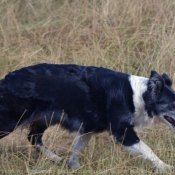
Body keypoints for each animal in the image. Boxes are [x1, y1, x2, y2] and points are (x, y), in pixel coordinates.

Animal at [0, 64, 175, 171]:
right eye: (173, 104)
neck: (140, 95)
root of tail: (5, 80)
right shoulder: (122, 131)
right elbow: (148, 150)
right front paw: (166, 167)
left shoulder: (89, 127)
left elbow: (78, 148)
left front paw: (74, 166)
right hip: (11, 120)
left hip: (43, 118)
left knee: (33, 137)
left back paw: (56, 159)